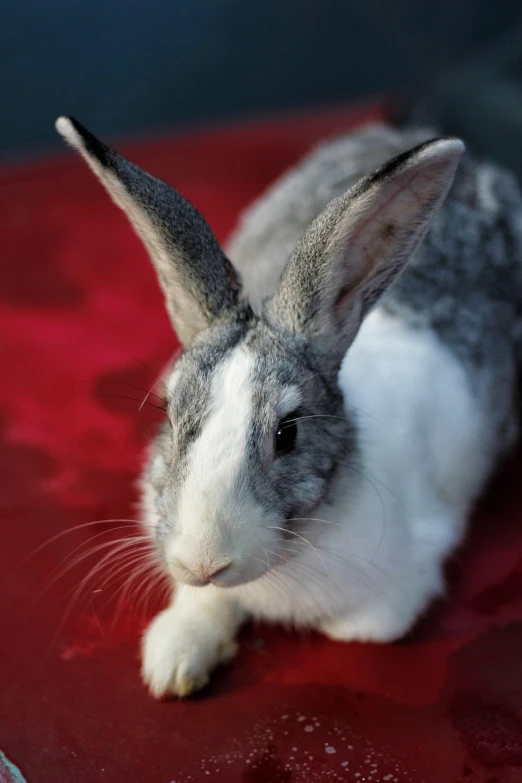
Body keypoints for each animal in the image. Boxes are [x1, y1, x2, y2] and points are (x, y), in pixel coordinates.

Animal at [55, 115, 520, 700]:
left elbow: (359, 629)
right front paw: (173, 665)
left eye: (288, 433)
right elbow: (204, 605)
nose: (202, 561)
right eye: (170, 415)